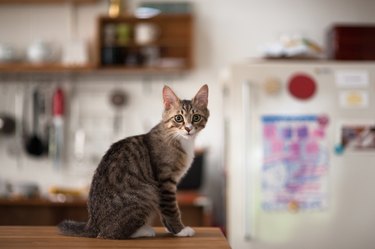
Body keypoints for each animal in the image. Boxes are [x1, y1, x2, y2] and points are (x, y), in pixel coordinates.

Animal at [60, 84, 210, 239]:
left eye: (196, 117)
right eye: (178, 118)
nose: (188, 128)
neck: (178, 138)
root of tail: (93, 223)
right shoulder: (165, 180)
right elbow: (170, 209)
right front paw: (180, 230)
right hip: (147, 192)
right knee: (108, 234)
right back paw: (143, 230)